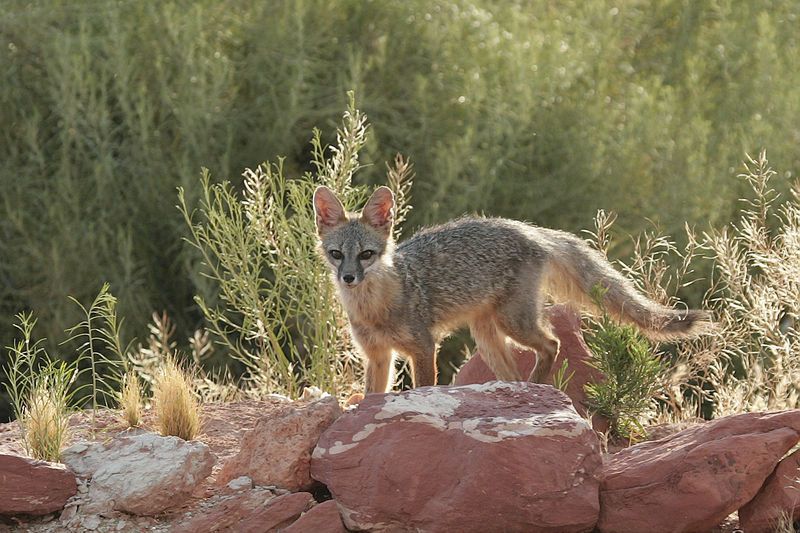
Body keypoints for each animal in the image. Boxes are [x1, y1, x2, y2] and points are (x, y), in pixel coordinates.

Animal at [312, 185, 712, 392]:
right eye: (337, 254)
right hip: (487, 337)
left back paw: (535, 387)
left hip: (512, 323)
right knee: (519, 369)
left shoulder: (424, 348)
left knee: (552, 344)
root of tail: (526, 227)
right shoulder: (378, 356)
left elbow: (424, 387)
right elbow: (370, 398)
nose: (348, 278)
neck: (374, 309)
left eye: (366, 254)